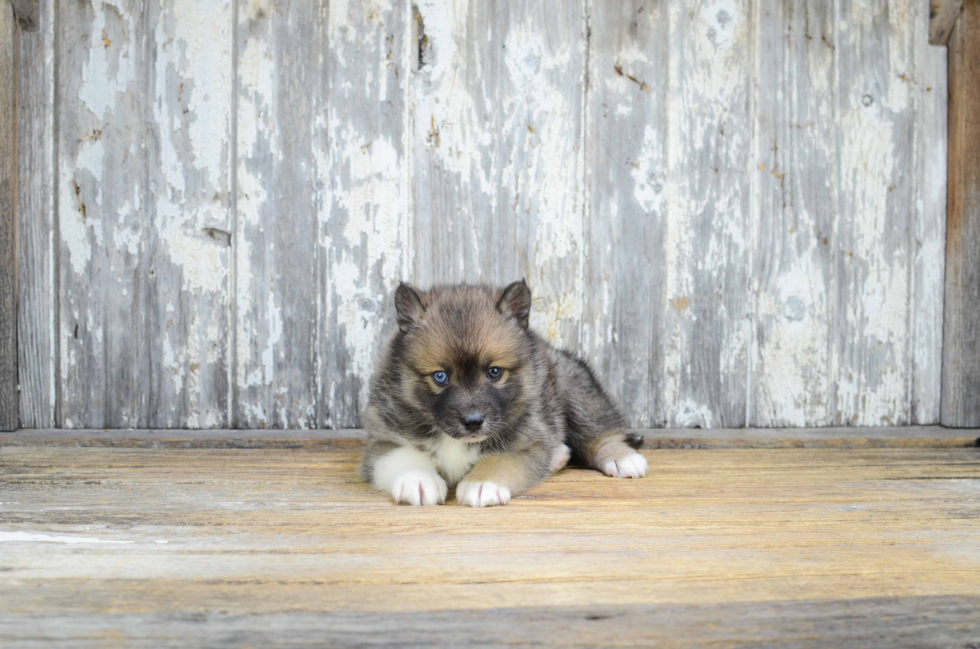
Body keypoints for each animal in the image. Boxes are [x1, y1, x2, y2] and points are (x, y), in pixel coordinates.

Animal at [356, 278, 648, 506]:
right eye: (440, 376)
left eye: (494, 372)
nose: (473, 422)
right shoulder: (384, 438)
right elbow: (404, 456)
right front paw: (417, 480)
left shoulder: (527, 439)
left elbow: (500, 459)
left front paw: (483, 482)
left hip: (575, 390)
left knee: (600, 431)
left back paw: (621, 458)